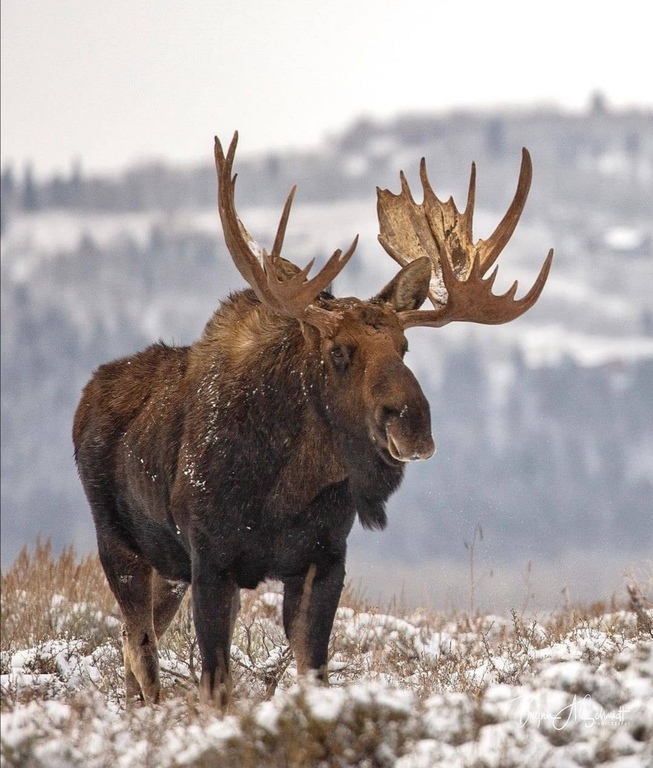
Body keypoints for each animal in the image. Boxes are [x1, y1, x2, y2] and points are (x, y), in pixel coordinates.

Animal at [73, 133, 553, 706]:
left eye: (404, 346)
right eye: (339, 351)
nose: (412, 424)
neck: (285, 487)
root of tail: (85, 396)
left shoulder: (322, 561)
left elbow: (313, 670)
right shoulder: (210, 561)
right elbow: (216, 685)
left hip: (167, 571)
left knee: (134, 653)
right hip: (119, 545)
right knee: (137, 648)